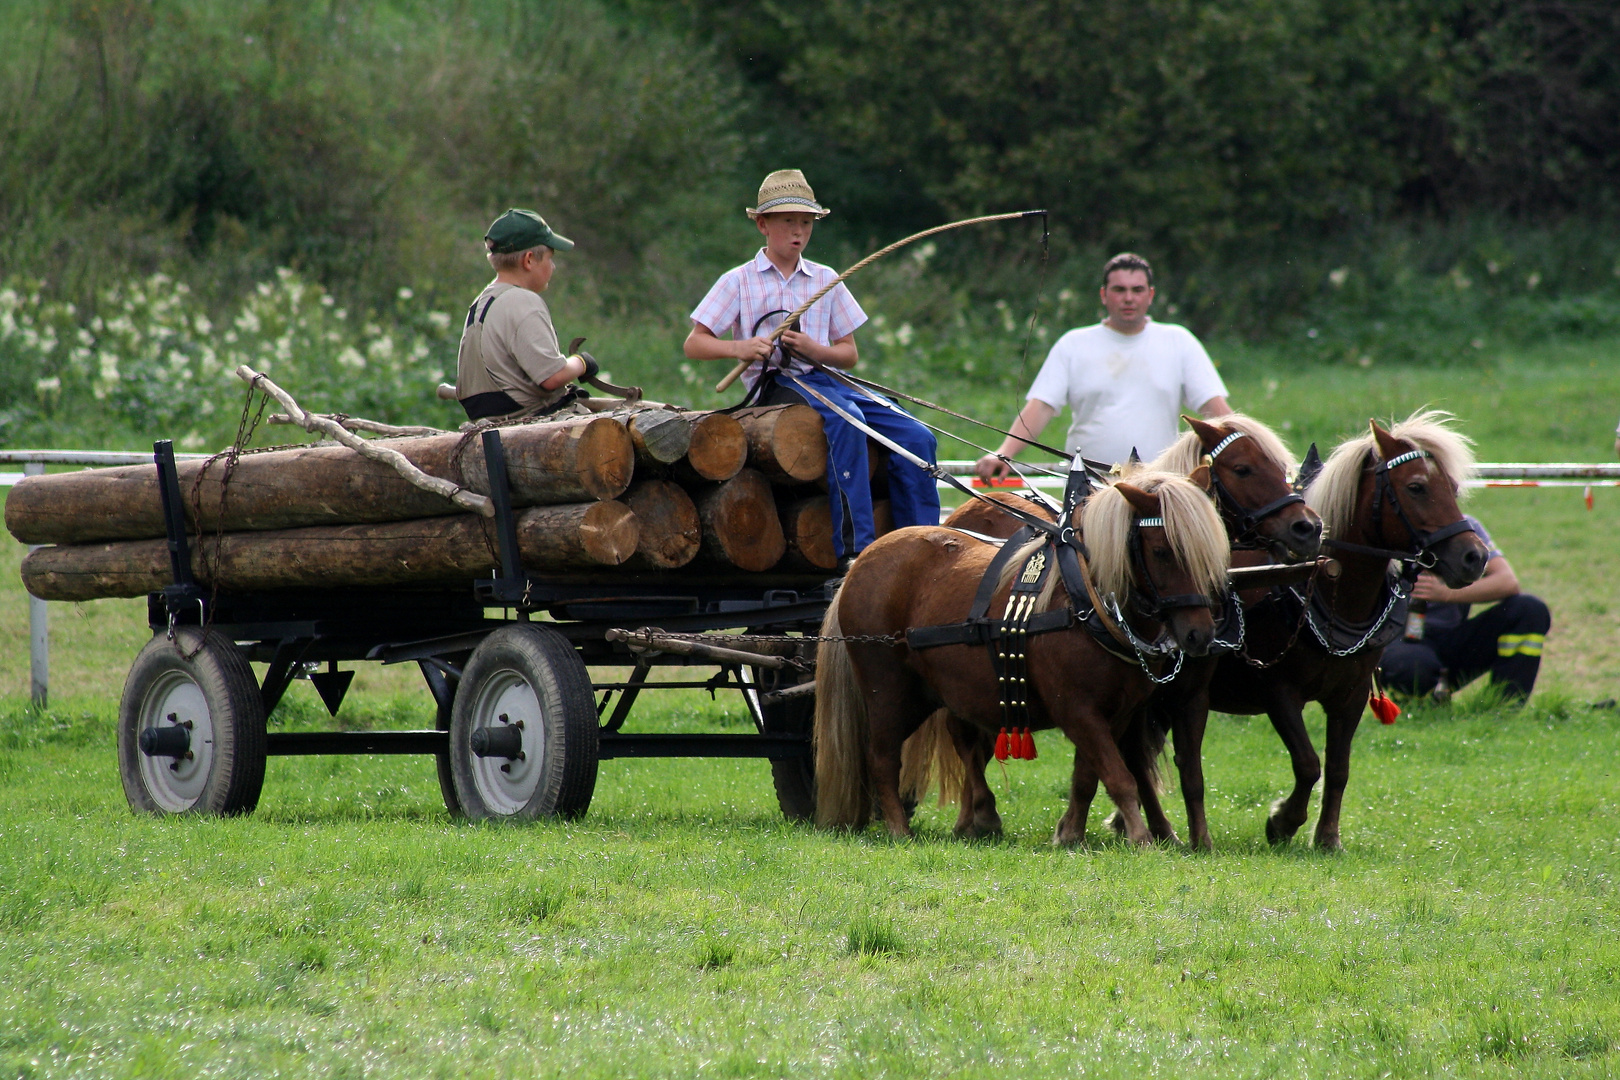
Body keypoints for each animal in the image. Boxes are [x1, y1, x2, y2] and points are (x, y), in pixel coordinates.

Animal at [822, 472, 1224, 841]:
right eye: (1161, 551)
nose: (1200, 634)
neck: (1084, 599)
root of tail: (862, 561)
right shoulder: (1077, 709)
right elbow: (1119, 776)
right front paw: (1141, 838)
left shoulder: (1117, 713)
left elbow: (1089, 777)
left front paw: (1071, 835)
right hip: (889, 692)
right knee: (882, 756)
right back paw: (899, 829)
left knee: (961, 739)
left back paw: (979, 816)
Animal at [1211, 414, 1483, 854]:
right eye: (1416, 487)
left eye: (1453, 488)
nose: (1474, 557)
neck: (1326, 586)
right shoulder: (1278, 691)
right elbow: (1308, 763)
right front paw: (1283, 822)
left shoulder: (1350, 695)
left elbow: (1338, 767)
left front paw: (1327, 838)